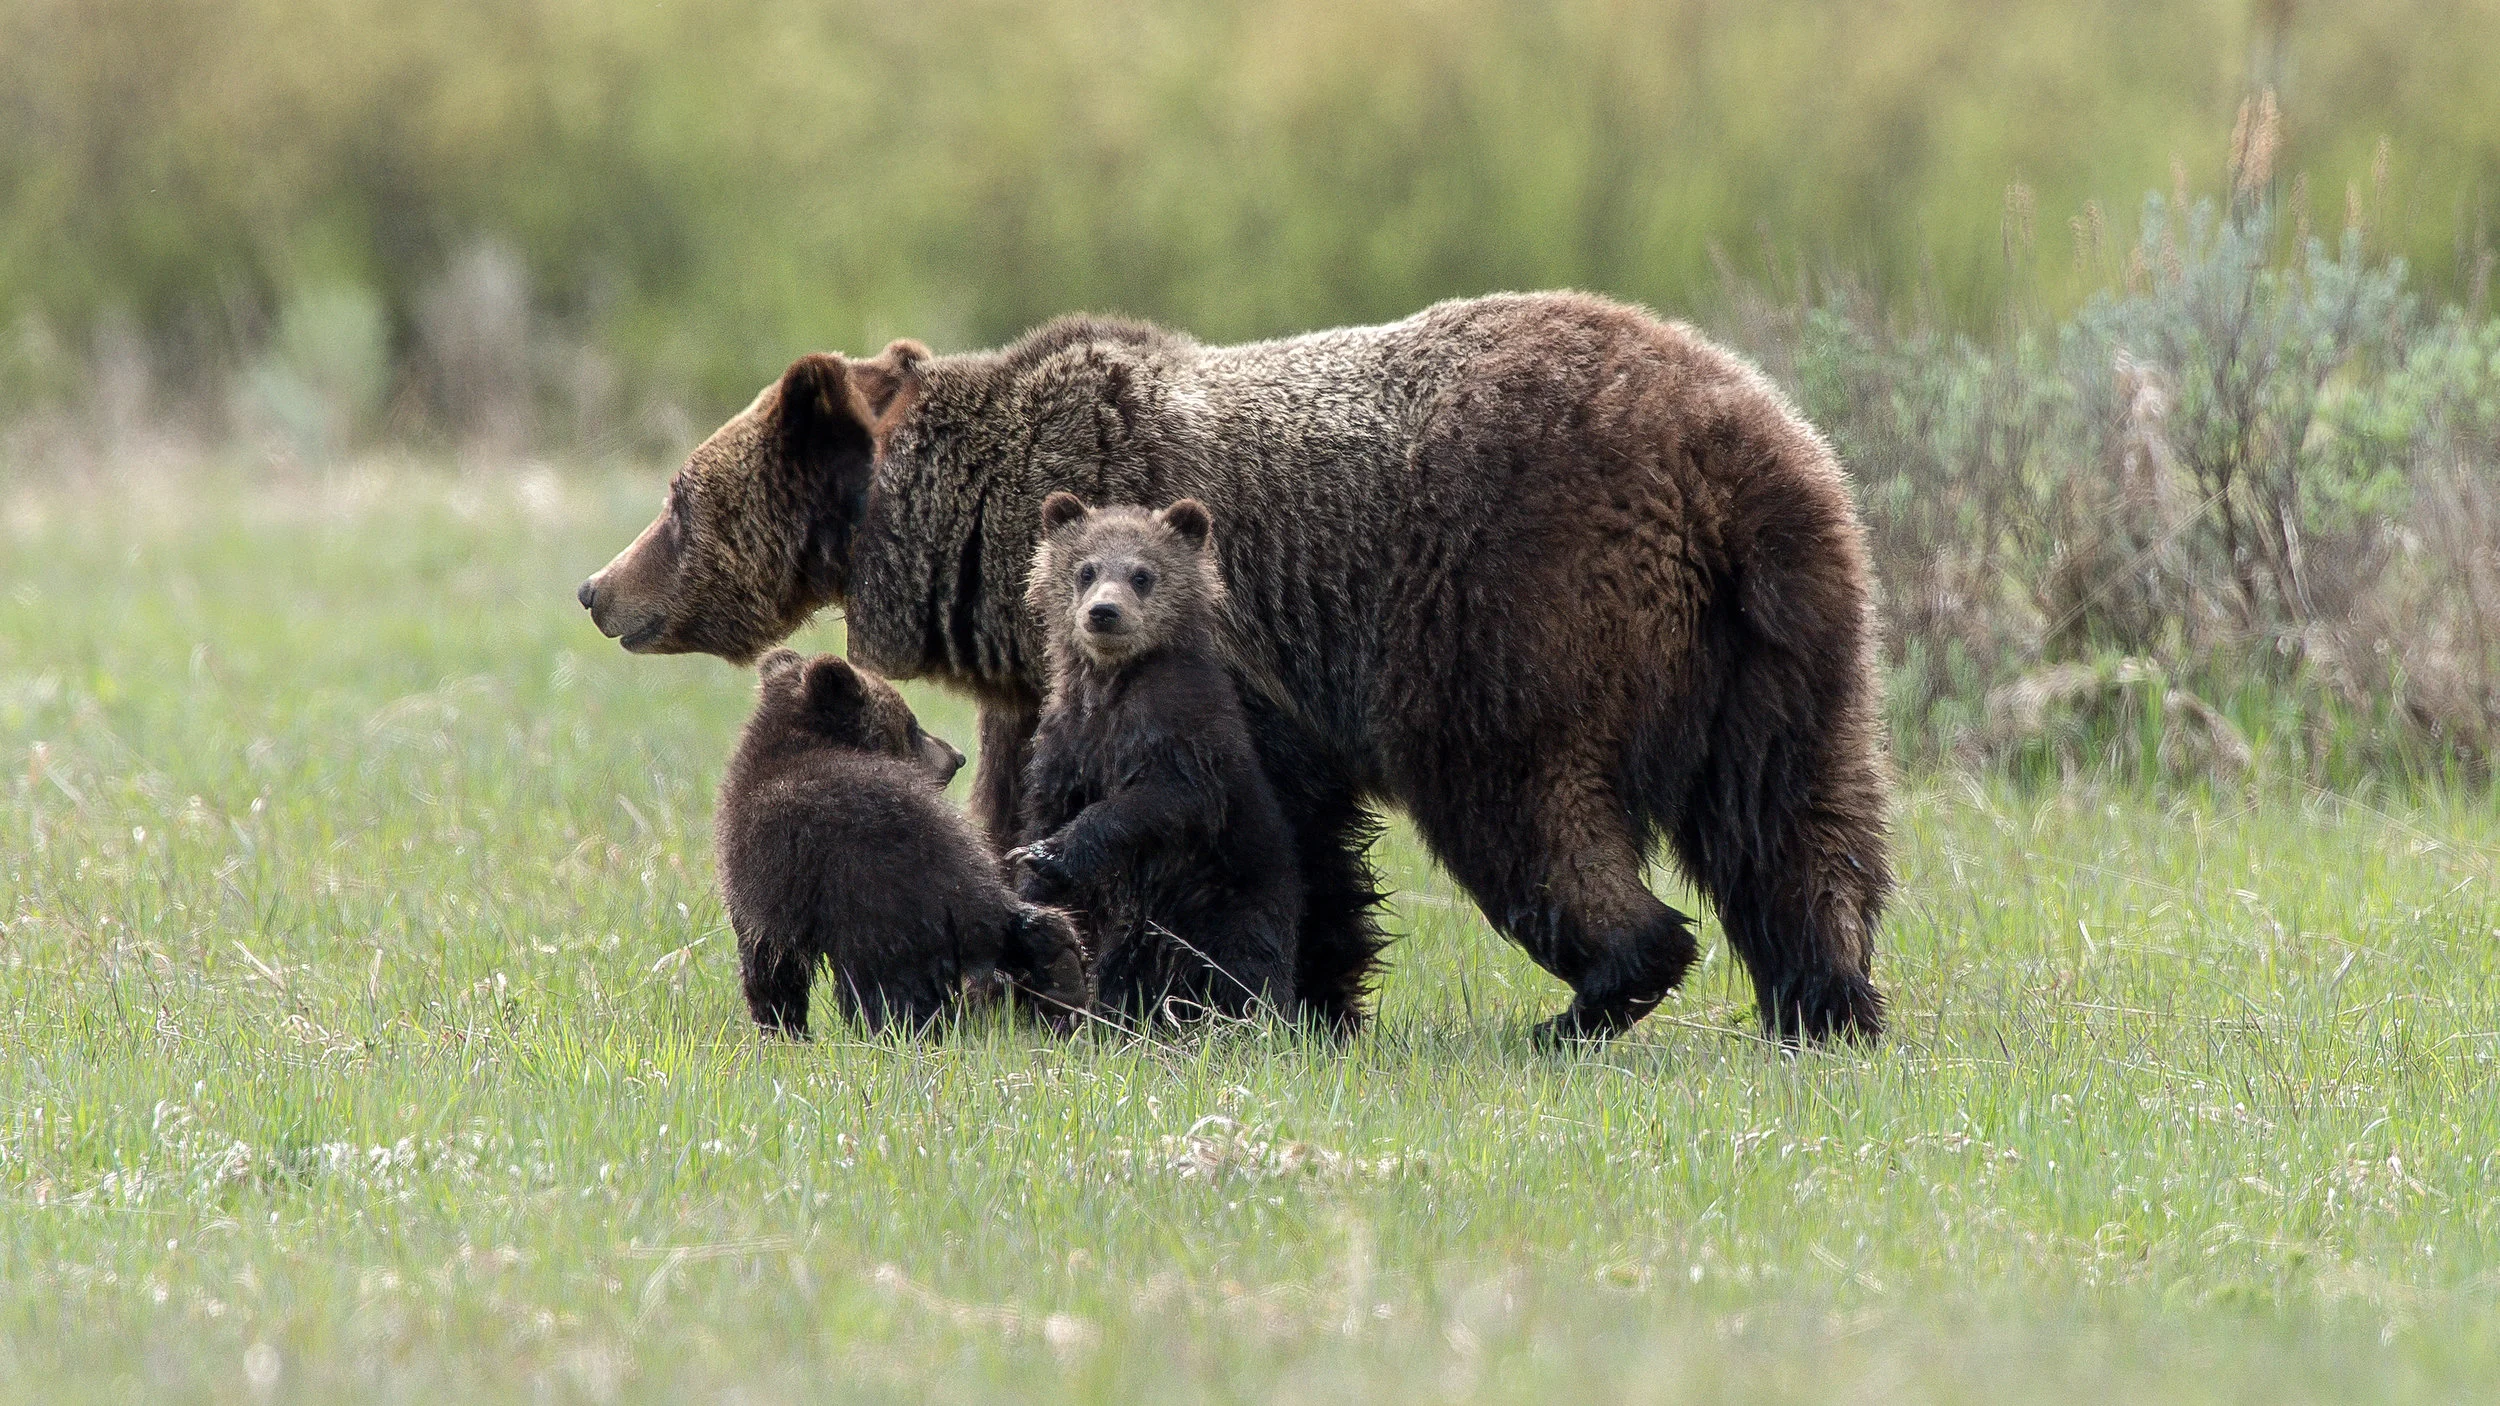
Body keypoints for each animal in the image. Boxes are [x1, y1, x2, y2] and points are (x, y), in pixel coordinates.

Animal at [713, 647, 1090, 1037]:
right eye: (912, 724)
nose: (957, 756)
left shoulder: (768, 877)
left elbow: (769, 958)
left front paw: (780, 1026)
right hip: (949, 866)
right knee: (1015, 919)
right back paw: (1062, 972)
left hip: (880, 903)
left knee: (890, 985)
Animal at [1007, 493, 1305, 1024]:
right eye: (1085, 569)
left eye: (1142, 574)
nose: (1104, 612)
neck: (1112, 684)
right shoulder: (1067, 743)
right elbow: (1043, 809)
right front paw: (1032, 889)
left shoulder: (1180, 731)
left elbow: (1163, 799)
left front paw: (1050, 855)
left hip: (1230, 901)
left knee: (1247, 966)